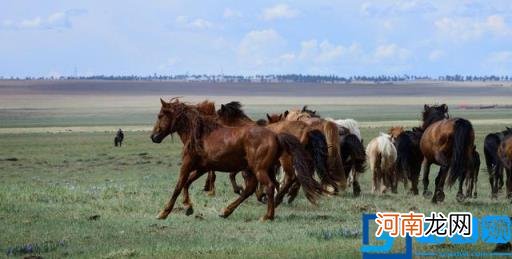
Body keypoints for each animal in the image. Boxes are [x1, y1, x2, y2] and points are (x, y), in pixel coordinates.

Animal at [150, 99, 324, 221]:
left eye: (160, 116)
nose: (153, 137)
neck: (199, 134)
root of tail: (276, 135)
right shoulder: (203, 167)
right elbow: (187, 183)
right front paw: (188, 207)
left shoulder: (187, 164)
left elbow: (179, 185)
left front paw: (163, 213)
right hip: (261, 169)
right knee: (255, 188)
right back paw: (226, 211)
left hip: (260, 169)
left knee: (269, 185)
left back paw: (267, 216)